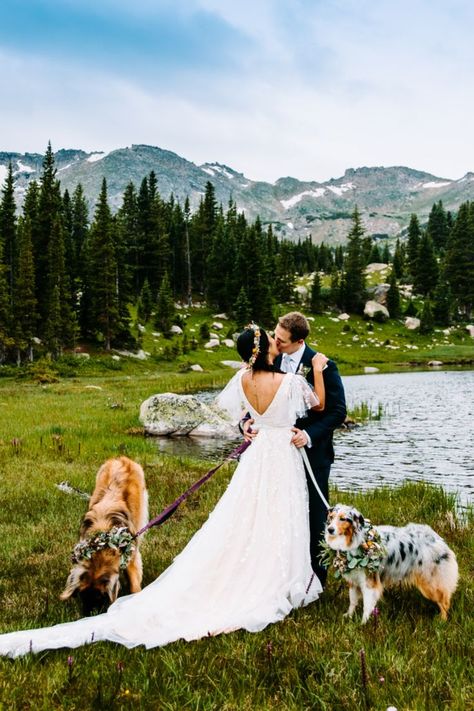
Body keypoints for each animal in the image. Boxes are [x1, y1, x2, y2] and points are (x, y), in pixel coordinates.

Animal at [60, 458, 148, 616]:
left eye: (100, 597)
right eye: (82, 595)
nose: (87, 616)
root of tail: (122, 459)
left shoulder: (132, 555)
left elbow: (134, 581)